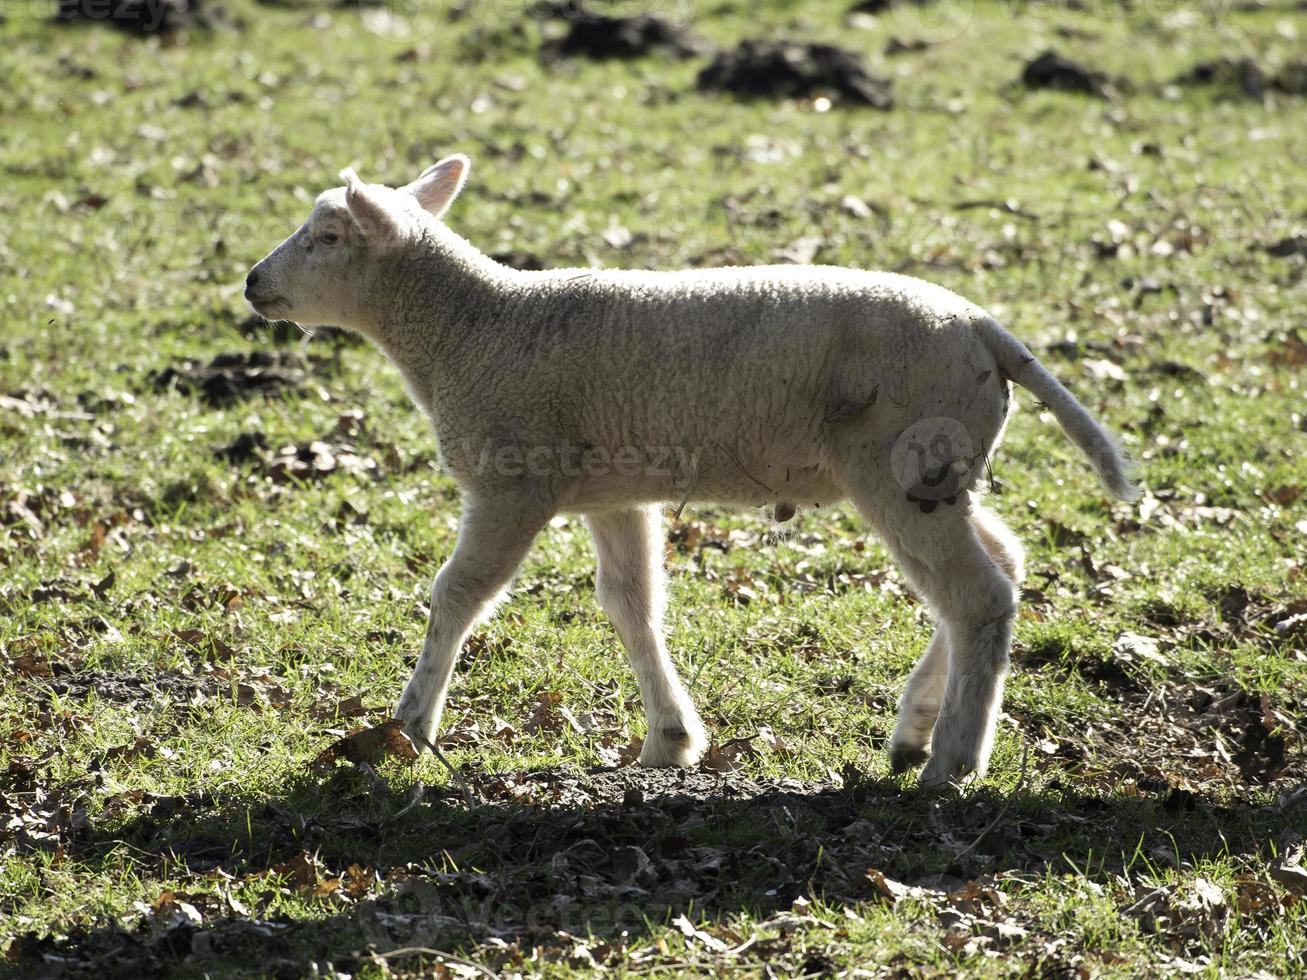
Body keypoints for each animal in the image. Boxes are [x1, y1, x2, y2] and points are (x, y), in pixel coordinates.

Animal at [243, 159, 1134, 789]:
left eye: (327, 238)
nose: (252, 284)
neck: (471, 327)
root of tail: (985, 330)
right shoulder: (612, 490)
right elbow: (630, 603)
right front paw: (669, 740)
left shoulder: (513, 475)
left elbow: (459, 594)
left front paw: (407, 730)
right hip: (943, 470)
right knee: (999, 568)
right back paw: (914, 731)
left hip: (901, 464)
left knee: (976, 597)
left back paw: (952, 760)